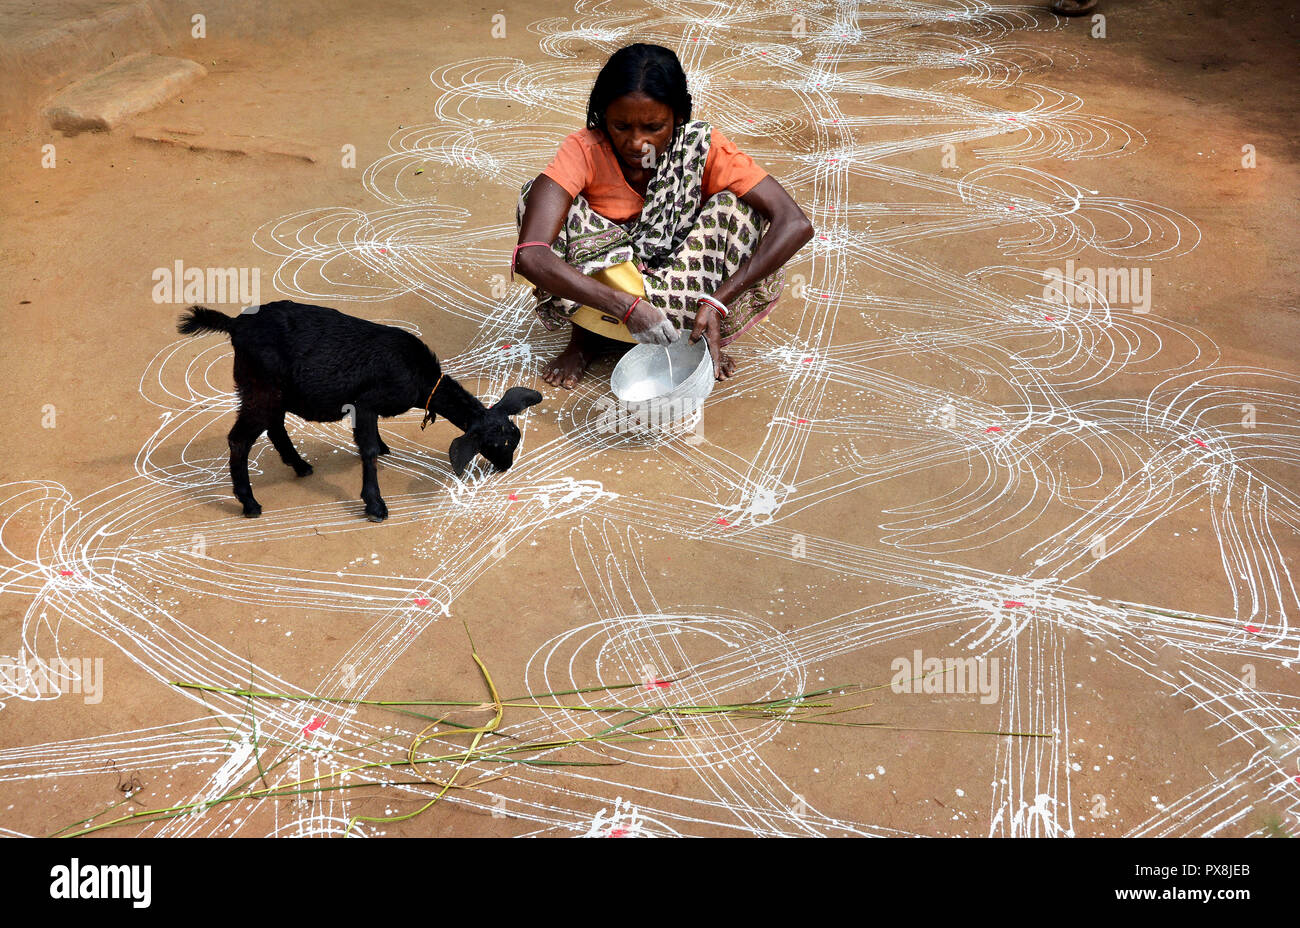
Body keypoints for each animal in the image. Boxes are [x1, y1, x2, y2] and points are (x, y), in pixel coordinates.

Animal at [175, 304, 540, 519]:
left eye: (514, 435)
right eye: (499, 444)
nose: (506, 466)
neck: (421, 378)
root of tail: (235, 325)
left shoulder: (368, 409)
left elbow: (372, 442)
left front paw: (384, 448)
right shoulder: (365, 403)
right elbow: (367, 451)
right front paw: (375, 504)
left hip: (274, 392)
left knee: (275, 425)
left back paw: (300, 465)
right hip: (259, 388)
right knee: (240, 439)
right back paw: (249, 503)